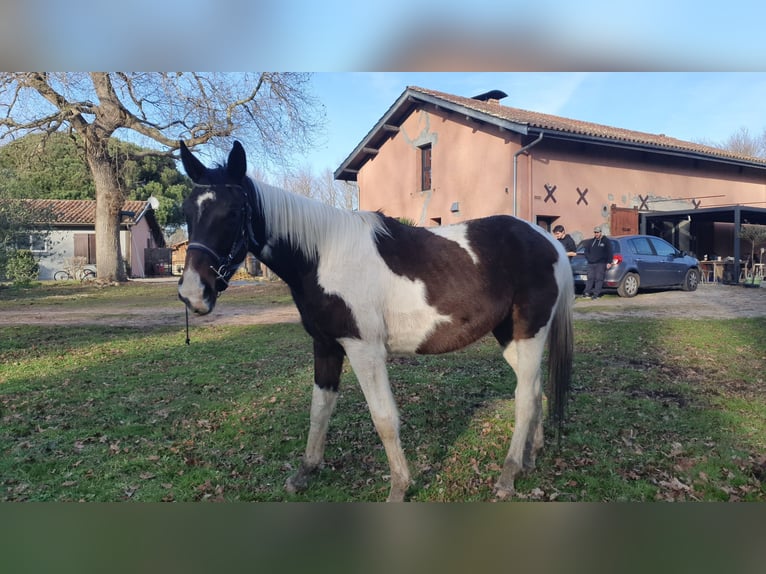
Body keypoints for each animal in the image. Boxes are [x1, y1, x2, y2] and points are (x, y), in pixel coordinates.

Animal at [178, 142, 576, 502]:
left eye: (233, 212)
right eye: (188, 211)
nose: (193, 293)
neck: (323, 255)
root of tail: (549, 242)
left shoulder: (364, 350)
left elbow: (384, 418)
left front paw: (399, 487)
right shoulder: (326, 345)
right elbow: (319, 409)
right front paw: (305, 471)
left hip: (530, 332)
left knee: (524, 398)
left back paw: (508, 474)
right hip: (509, 337)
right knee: (534, 390)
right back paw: (530, 457)